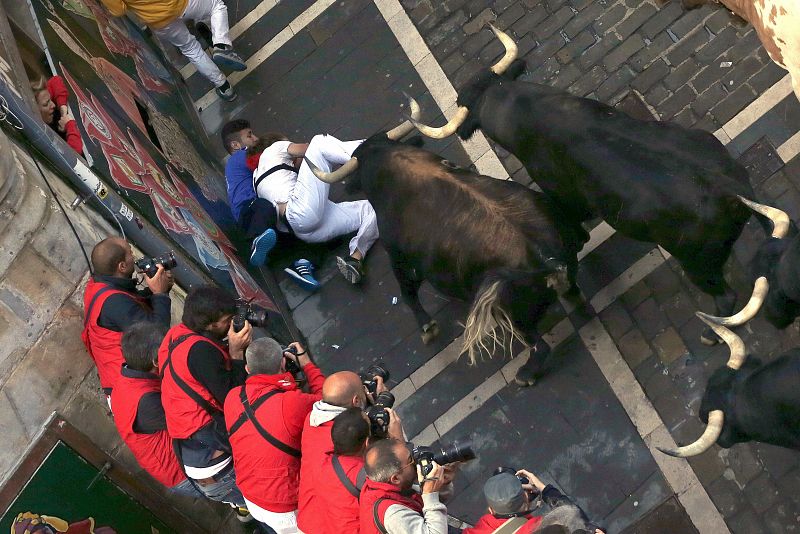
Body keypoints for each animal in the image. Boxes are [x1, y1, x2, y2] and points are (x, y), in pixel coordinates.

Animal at [308, 133, 580, 386]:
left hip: (515, 315)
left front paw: (427, 328)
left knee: (539, 347)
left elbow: (407, 293)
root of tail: (547, 259)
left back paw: (525, 375)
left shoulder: (398, 257)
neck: (387, 159)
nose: (347, 186)